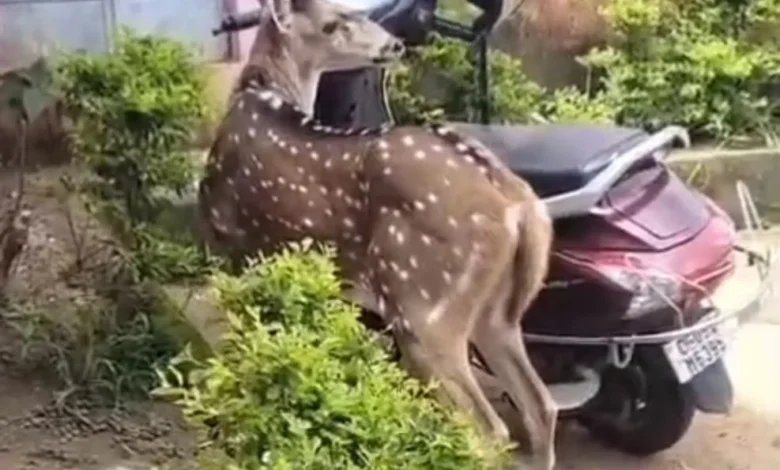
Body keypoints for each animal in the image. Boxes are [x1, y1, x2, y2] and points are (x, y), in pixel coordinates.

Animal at [197, 0, 558, 468]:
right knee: (541, 406)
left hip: (423, 306)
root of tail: (517, 207)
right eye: (332, 22)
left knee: (491, 428)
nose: (394, 43)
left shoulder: (231, 246)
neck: (257, 92)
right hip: (499, 314)